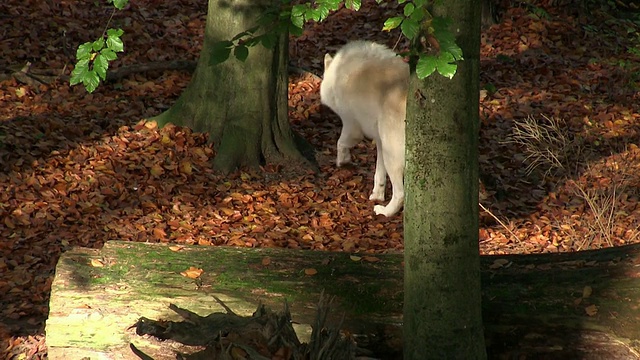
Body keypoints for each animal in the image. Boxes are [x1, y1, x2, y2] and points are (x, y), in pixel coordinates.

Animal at [322, 41, 408, 217]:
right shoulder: (380, 141)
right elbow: (379, 174)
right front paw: (377, 195)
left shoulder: (351, 125)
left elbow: (340, 143)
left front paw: (343, 161)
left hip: (393, 154)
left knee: (400, 193)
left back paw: (385, 212)